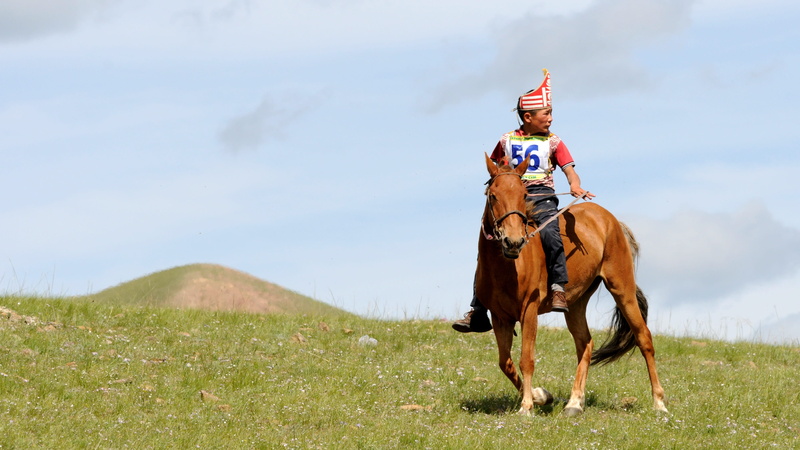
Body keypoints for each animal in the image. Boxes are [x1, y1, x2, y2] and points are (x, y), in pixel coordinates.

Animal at [476, 153, 667, 416]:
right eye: (493, 195)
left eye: (523, 196)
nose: (513, 241)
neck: (508, 268)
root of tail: (611, 220)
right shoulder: (499, 316)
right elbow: (505, 362)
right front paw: (540, 395)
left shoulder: (529, 310)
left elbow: (526, 359)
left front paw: (527, 406)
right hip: (575, 302)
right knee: (585, 343)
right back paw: (574, 403)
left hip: (622, 288)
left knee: (644, 338)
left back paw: (659, 403)